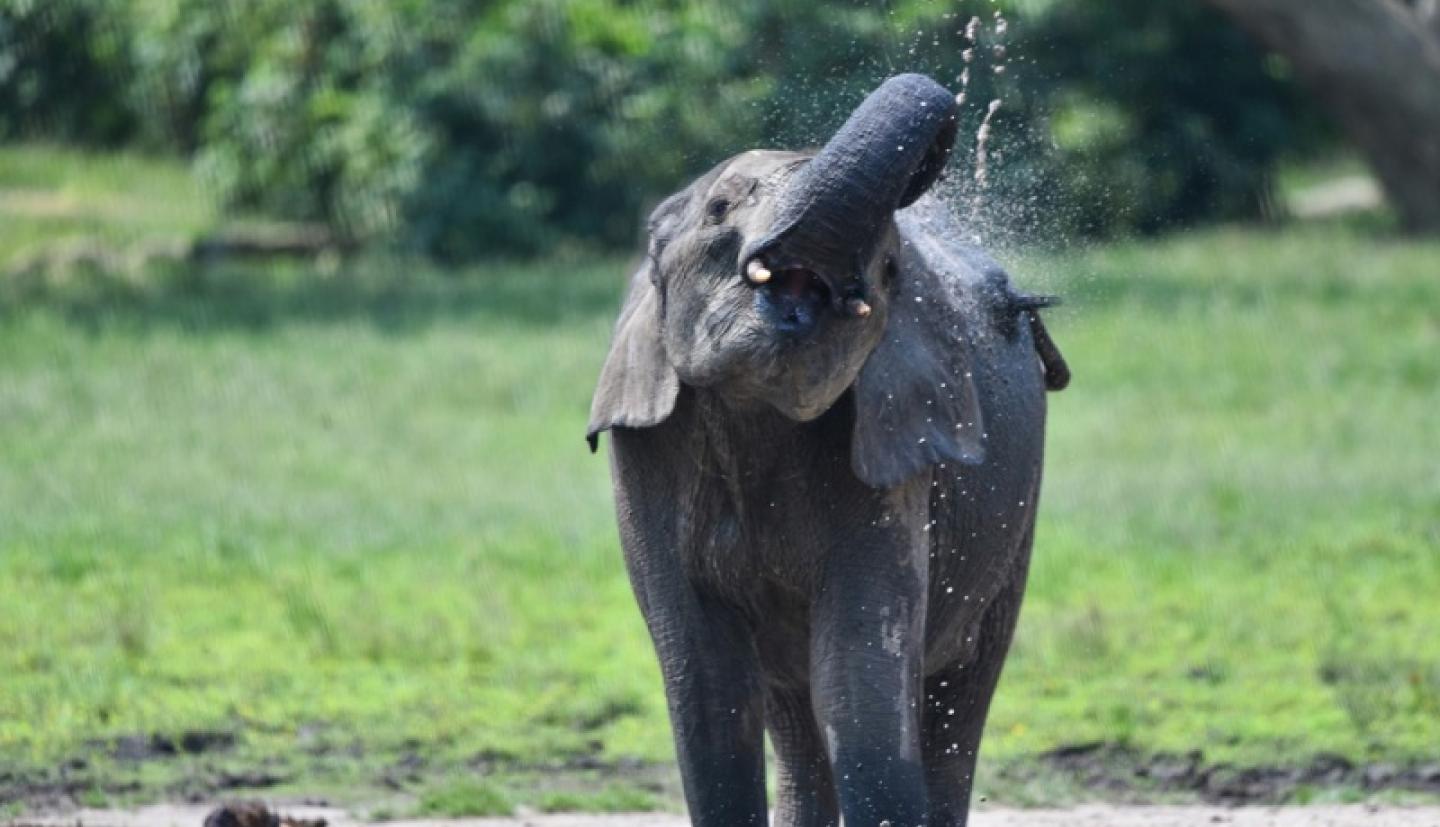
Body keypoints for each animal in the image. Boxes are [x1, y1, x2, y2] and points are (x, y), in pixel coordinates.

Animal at [586, 74, 1069, 827]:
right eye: (721, 207)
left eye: (891, 269)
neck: (756, 411)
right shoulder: (649, 449)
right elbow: (707, 687)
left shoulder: (893, 454)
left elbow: (860, 675)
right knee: (793, 713)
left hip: (1015, 520)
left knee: (957, 698)